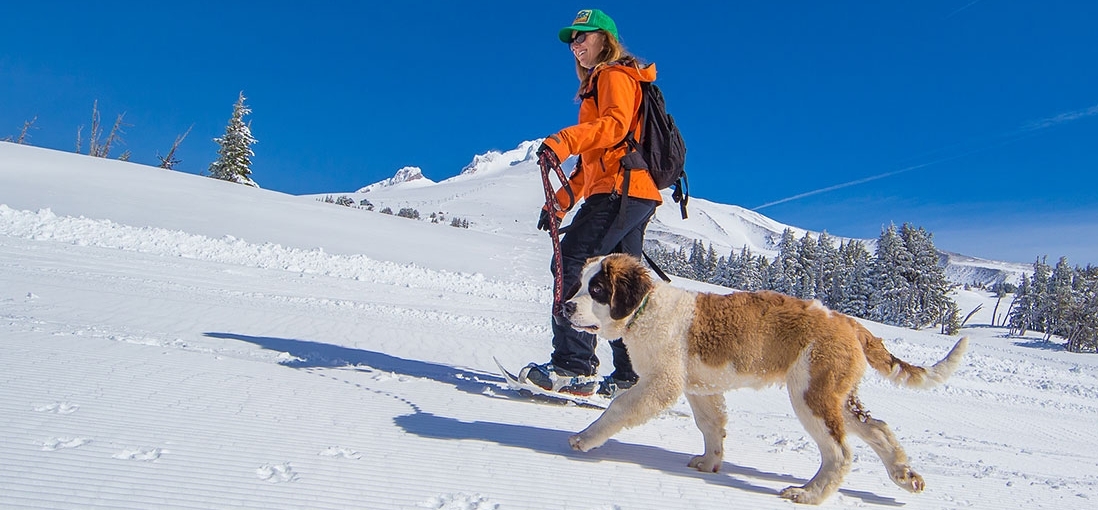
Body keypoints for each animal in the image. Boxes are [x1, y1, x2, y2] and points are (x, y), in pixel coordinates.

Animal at [562, 252, 966, 503]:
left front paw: (585, 438)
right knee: (877, 428)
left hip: (811, 394)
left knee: (840, 451)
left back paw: (809, 494)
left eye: (597, 290)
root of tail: (847, 321)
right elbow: (711, 424)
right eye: (579, 285)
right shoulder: (701, 388)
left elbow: (619, 407)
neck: (645, 309)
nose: (565, 307)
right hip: (834, 393)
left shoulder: (661, 384)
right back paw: (903, 475)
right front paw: (710, 463)